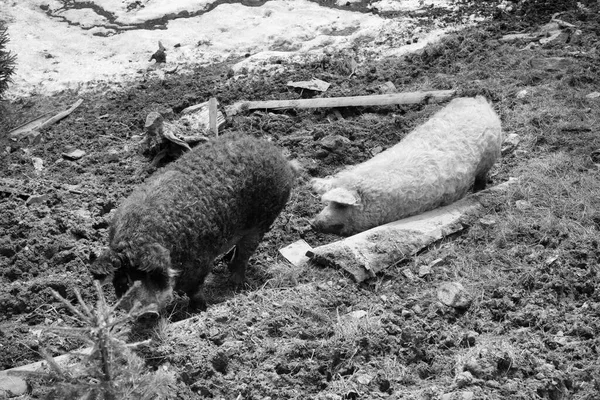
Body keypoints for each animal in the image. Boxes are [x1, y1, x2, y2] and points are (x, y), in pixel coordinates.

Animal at [90, 134, 296, 312]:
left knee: (245, 253)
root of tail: (277, 153)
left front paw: (199, 309)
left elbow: (194, 290)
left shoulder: (200, 263)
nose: (141, 310)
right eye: (123, 281)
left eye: (148, 276)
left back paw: (237, 284)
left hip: (264, 219)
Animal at [312, 95, 504, 236]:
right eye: (328, 204)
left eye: (341, 205)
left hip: (490, 155)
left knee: (482, 176)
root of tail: (478, 100)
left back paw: (477, 191)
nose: (312, 223)